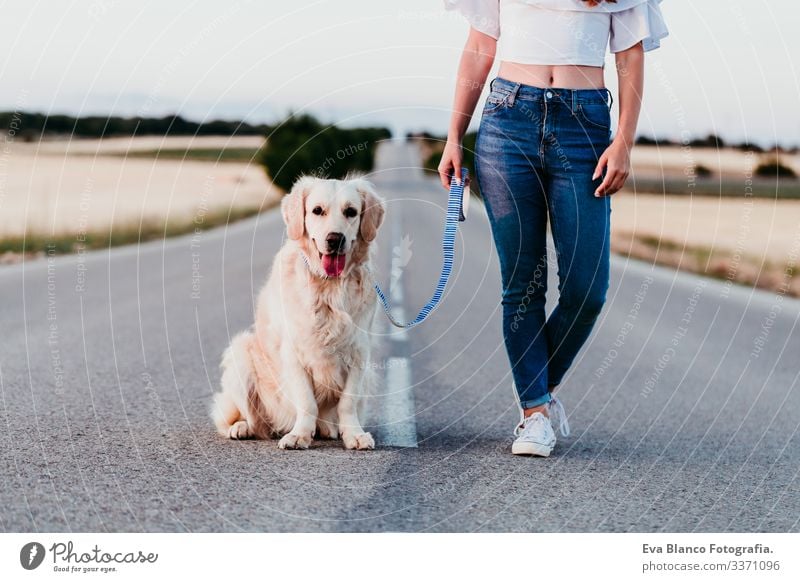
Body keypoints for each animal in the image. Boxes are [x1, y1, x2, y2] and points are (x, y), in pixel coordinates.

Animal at [211, 177, 386, 452]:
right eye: (317, 210)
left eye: (351, 212)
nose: (335, 239)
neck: (328, 288)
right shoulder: (293, 351)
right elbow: (307, 401)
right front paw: (300, 435)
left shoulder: (359, 351)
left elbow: (347, 402)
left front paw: (354, 435)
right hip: (240, 354)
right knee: (247, 418)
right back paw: (242, 427)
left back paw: (327, 429)